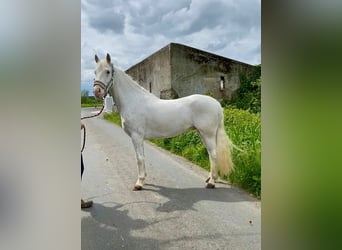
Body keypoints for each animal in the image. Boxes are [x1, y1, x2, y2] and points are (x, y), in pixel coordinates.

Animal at [92, 52, 234, 189]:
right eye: (95, 72)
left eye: (107, 71)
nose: (97, 91)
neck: (133, 100)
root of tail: (217, 104)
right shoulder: (138, 138)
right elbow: (142, 157)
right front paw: (143, 179)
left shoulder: (136, 136)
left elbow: (139, 158)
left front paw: (139, 183)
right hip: (203, 134)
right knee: (210, 154)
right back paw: (210, 178)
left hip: (208, 133)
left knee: (214, 154)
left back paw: (212, 183)